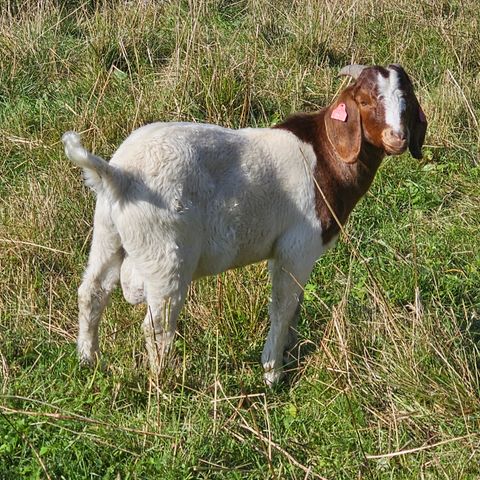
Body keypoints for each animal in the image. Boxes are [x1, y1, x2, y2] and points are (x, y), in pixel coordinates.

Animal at [62, 63, 428, 386]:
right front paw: (273, 372)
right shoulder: (297, 247)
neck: (324, 156)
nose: (397, 138)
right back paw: (166, 380)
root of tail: (120, 176)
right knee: (157, 324)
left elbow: (294, 308)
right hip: (166, 253)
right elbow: (283, 307)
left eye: (407, 101)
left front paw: (290, 353)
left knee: (92, 292)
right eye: (365, 101)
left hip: (108, 233)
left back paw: (88, 359)